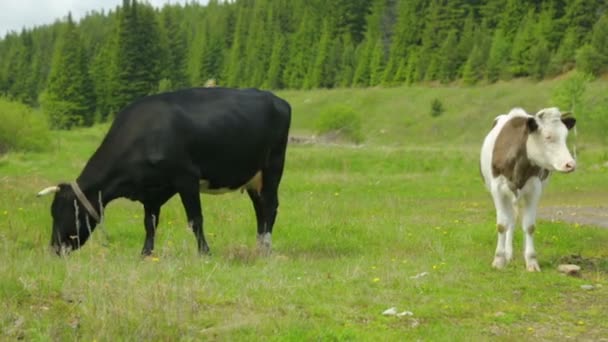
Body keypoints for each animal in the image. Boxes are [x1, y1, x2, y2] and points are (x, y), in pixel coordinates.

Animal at [37, 87, 292, 255]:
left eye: (61, 212)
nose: (54, 248)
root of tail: (278, 100)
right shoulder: (151, 191)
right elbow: (149, 223)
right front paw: (146, 253)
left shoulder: (186, 177)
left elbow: (195, 219)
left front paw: (205, 252)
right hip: (253, 178)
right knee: (260, 208)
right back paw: (258, 246)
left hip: (272, 168)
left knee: (270, 206)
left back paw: (266, 248)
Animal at [480, 108, 576, 272]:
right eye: (548, 136)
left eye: (565, 136)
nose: (570, 164)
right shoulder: (497, 189)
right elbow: (502, 225)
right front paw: (499, 259)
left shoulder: (534, 189)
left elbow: (529, 226)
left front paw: (531, 261)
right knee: (510, 219)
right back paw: (507, 254)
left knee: (515, 219)